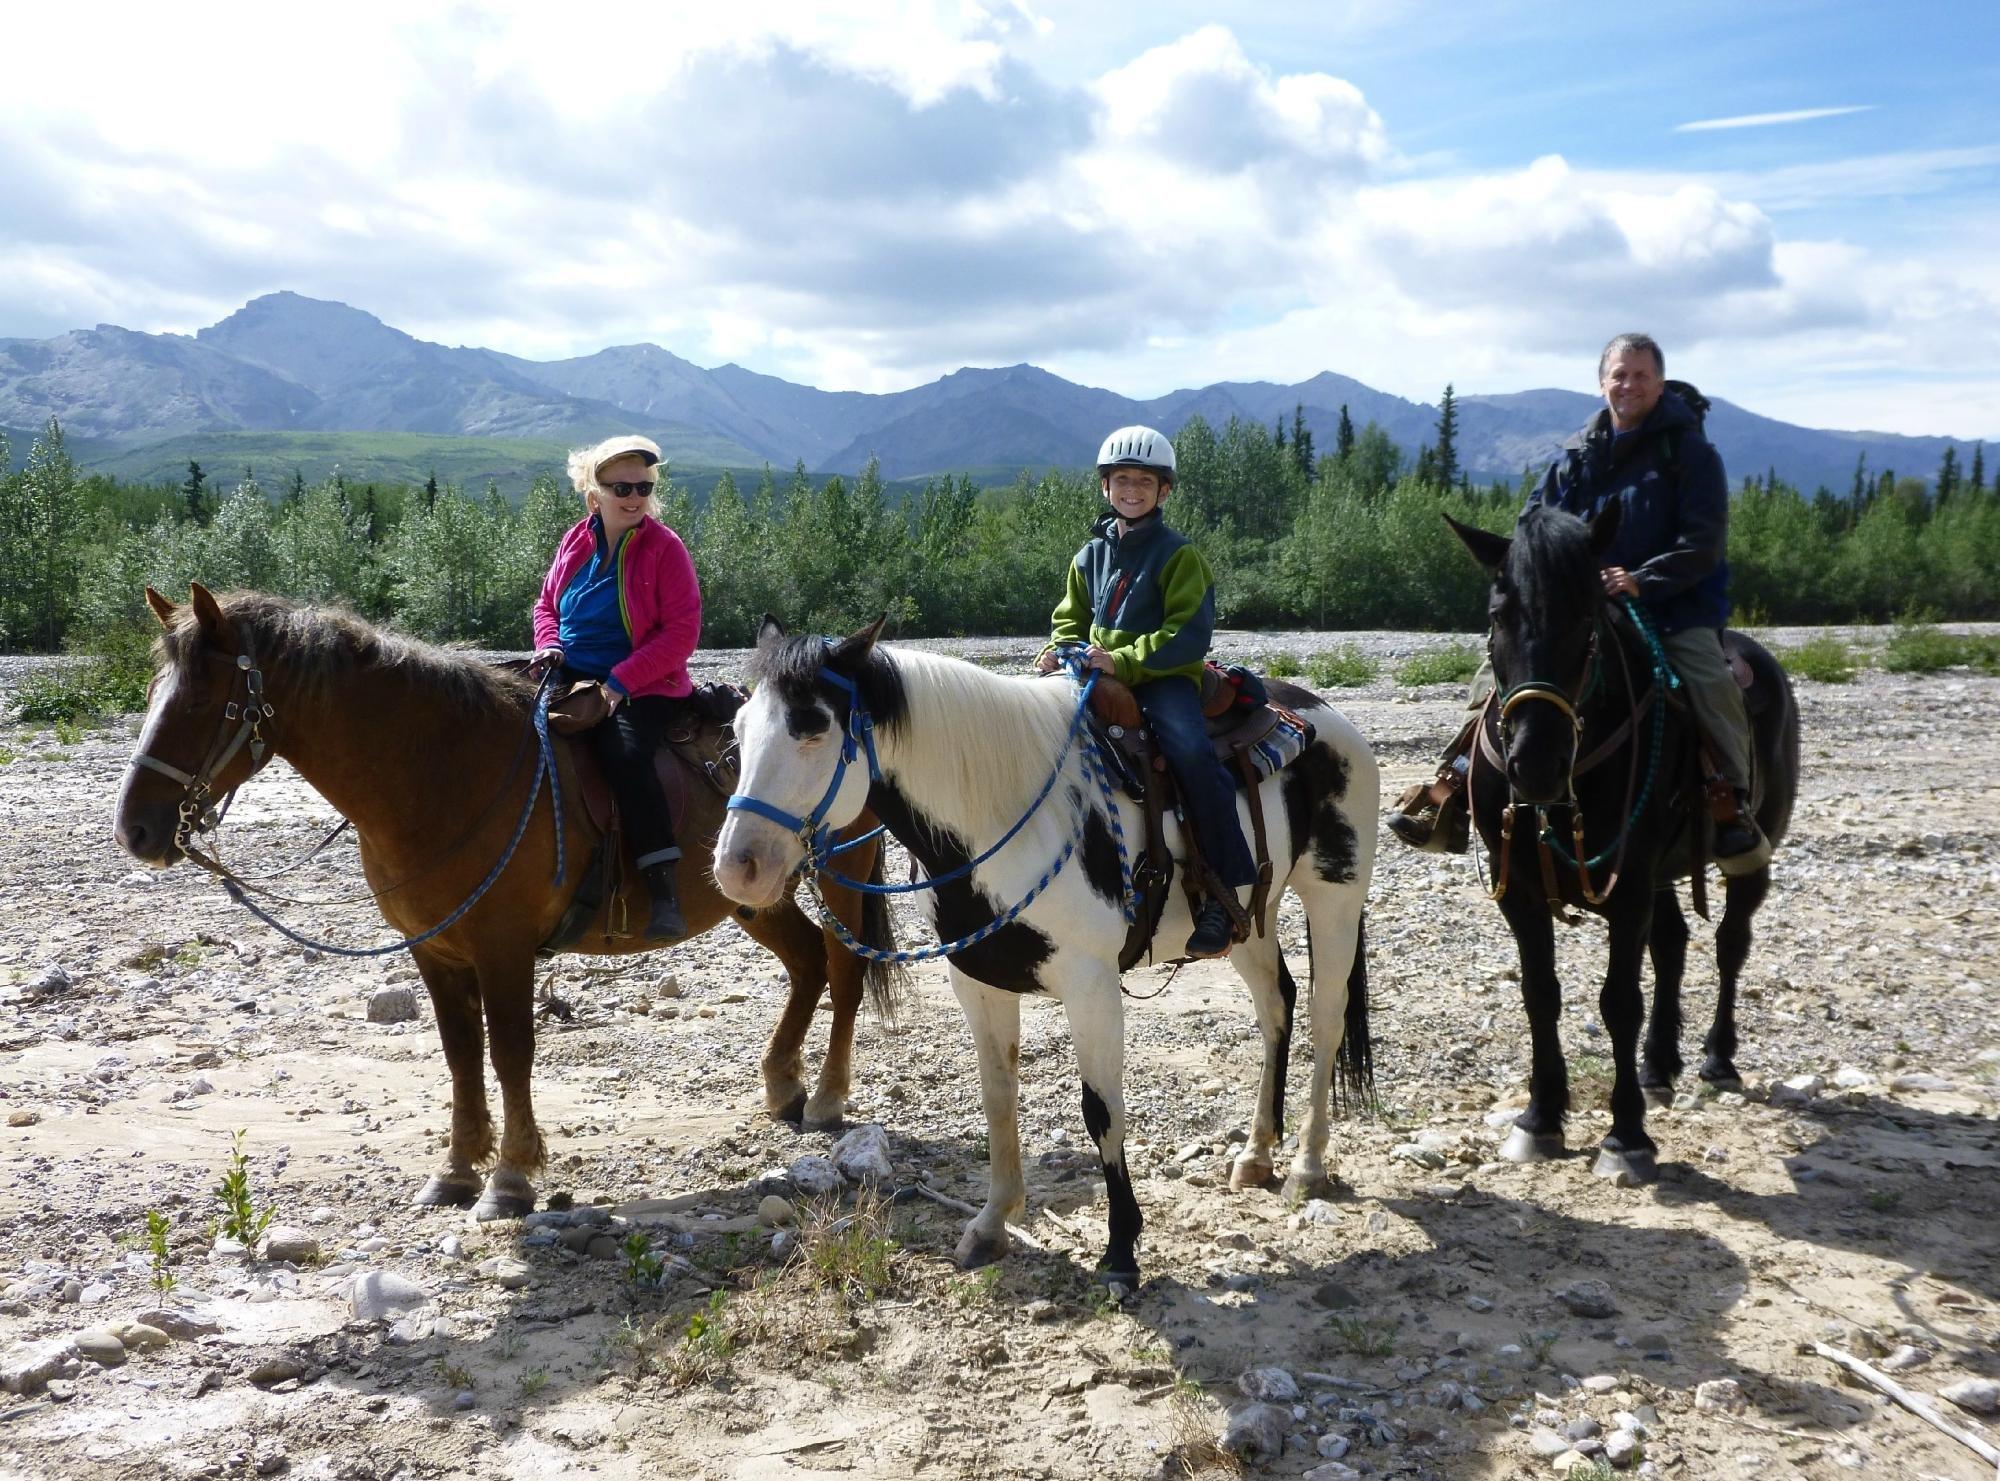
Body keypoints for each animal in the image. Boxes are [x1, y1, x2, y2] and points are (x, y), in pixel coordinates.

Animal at [115, 584, 900, 1216]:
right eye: (152, 695)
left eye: (201, 701)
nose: (136, 829)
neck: (442, 770)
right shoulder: (436, 951)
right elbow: (461, 1055)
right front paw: (458, 1170)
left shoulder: (504, 948)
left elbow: (511, 1052)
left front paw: (512, 1177)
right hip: (754, 893)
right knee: (806, 963)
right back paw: (783, 1084)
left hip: (842, 874)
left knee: (843, 970)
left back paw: (827, 1097)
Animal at [712, 620, 1384, 1288]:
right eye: (738, 729)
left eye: (813, 727)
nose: (738, 867)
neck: (997, 816)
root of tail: (1320, 715)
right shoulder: (977, 980)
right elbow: (998, 1096)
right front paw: (991, 1225)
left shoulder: (1090, 986)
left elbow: (1102, 1110)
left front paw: (1121, 1250)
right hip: (1248, 916)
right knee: (1276, 1005)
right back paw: (1257, 1153)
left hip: (1334, 897)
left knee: (1325, 1018)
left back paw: (1306, 1167)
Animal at [1448, 502, 1808, 1184]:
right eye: (1497, 615)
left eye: (1589, 618)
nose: (1536, 762)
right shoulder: (1525, 893)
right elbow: (1540, 994)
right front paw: (1540, 1118)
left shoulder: (1631, 886)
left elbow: (1619, 1001)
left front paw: (1626, 1137)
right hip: (1663, 873)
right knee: (1672, 945)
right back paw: (1658, 1064)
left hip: (1749, 855)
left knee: (1730, 945)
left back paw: (1717, 1060)